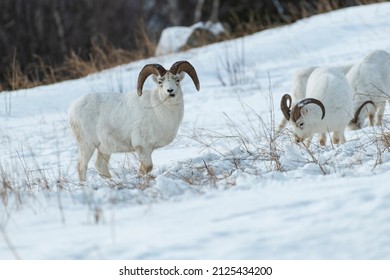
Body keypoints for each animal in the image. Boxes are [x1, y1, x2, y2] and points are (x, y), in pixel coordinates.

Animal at [68, 60, 200, 182]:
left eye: (177, 80)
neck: (159, 112)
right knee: (82, 166)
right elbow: (147, 167)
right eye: (160, 82)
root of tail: (73, 108)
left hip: (104, 149)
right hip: (87, 145)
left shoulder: (148, 149)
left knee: (101, 166)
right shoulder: (142, 147)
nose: (170, 91)